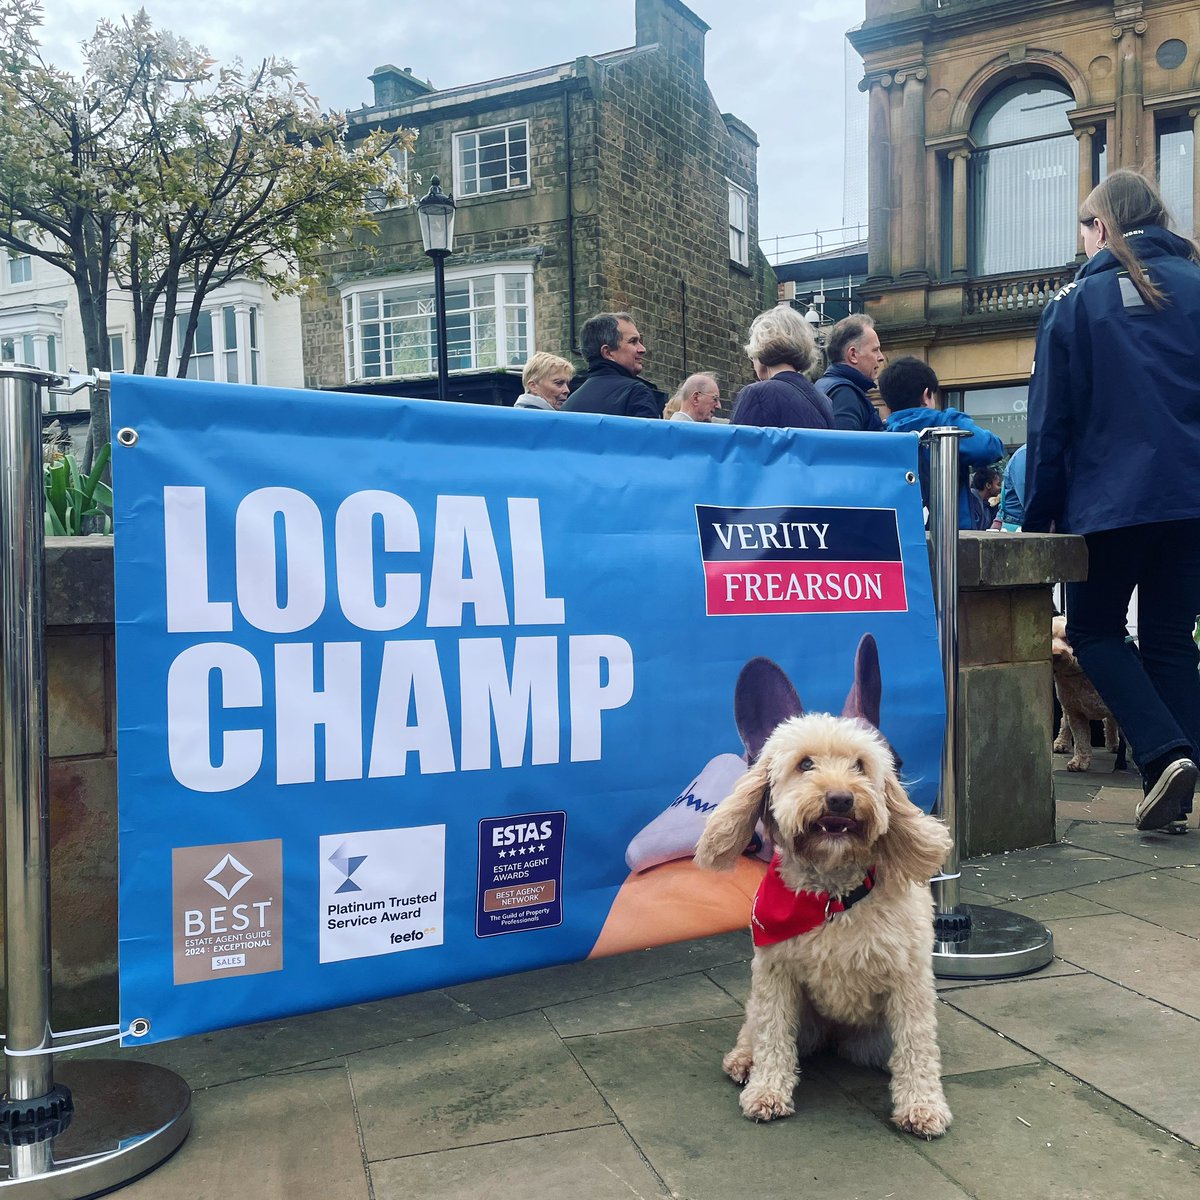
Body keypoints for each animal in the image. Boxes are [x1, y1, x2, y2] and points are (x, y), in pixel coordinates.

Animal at [696, 710, 955, 1132]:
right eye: (805, 764)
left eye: (860, 766)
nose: (840, 798)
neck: (833, 898)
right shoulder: (776, 974)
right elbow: (772, 1034)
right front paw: (766, 1092)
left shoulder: (909, 978)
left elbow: (916, 1044)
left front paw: (922, 1105)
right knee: (755, 1028)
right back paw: (744, 1060)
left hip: (870, 1041)